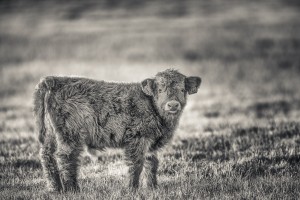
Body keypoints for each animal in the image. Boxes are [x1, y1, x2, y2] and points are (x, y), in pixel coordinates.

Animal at [32, 69, 202, 192]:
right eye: (160, 90)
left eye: (182, 89)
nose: (172, 104)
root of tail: (53, 79)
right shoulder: (137, 139)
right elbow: (136, 164)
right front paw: (132, 189)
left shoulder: (151, 143)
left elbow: (152, 164)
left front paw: (152, 187)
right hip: (70, 135)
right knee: (66, 158)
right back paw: (72, 189)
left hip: (50, 135)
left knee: (47, 157)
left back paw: (55, 189)